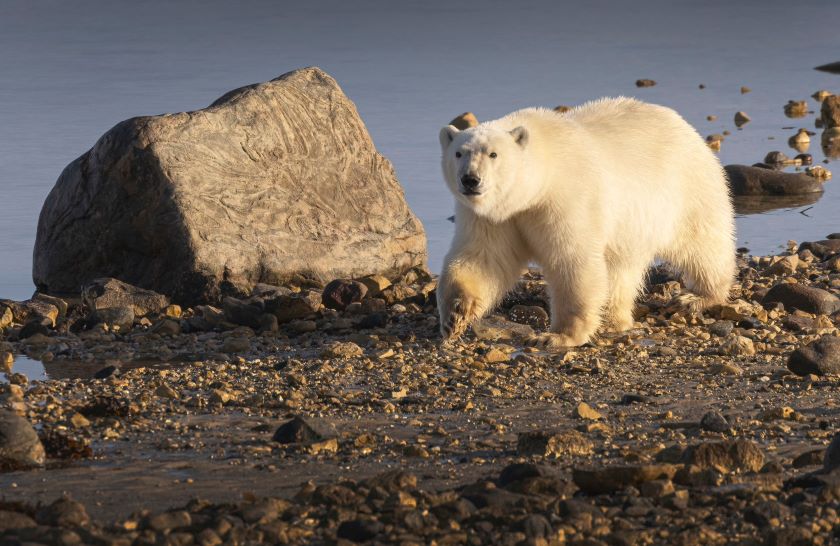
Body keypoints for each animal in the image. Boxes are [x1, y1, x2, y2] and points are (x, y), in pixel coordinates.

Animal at [440, 95, 736, 346]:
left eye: (493, 154)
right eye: (459, 153)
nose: (470, 180)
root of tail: (685, 126)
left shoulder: (566, 199)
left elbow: (572, 261)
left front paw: (557, 336)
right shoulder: (494, 217)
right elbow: (484, 257)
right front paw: (455, 314)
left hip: (685, 189)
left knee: (701, 244)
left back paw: (696, 296)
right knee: (621, 268)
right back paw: (613, 318)